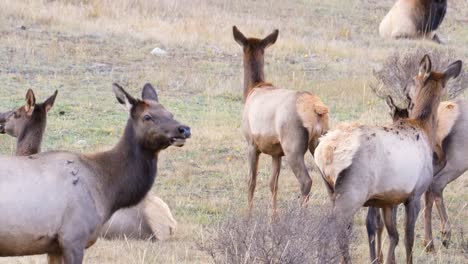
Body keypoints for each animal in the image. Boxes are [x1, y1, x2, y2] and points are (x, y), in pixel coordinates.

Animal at [0, 83, 192, 264]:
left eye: (170, 113)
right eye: (147, 116)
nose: (184, 129)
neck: (107, 191)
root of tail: (170, 226)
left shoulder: (54, 246)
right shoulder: (73, 237)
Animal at [231, 25, 330, 214]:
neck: (252, 89)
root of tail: (317, 109)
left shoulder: (251, 143)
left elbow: (251, 182)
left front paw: (248, 216)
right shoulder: (276, 152)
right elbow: (273, 185)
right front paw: (273, 217)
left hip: (293, 146)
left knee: (306, 181)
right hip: (319, 142)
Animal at [312, 54, 462, 262]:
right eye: (414, 78)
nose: (406, 91)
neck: (425, 128)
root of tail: (325, 151)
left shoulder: (388, 200)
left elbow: (394, 235)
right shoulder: (415, 193)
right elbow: (408, 238)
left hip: (330, 189)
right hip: (351, 193)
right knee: (332, 229)